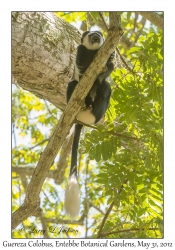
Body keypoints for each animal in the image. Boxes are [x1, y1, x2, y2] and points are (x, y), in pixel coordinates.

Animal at [64, 30, 115, 217]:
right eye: (92, 33)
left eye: (98, 33)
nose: (96, 35)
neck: (93, 52)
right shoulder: (80, 52)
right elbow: (83, 67)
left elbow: (110, 65)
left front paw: (110, 58)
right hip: (75, 93)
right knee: (73, 84)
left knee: (106, 87)